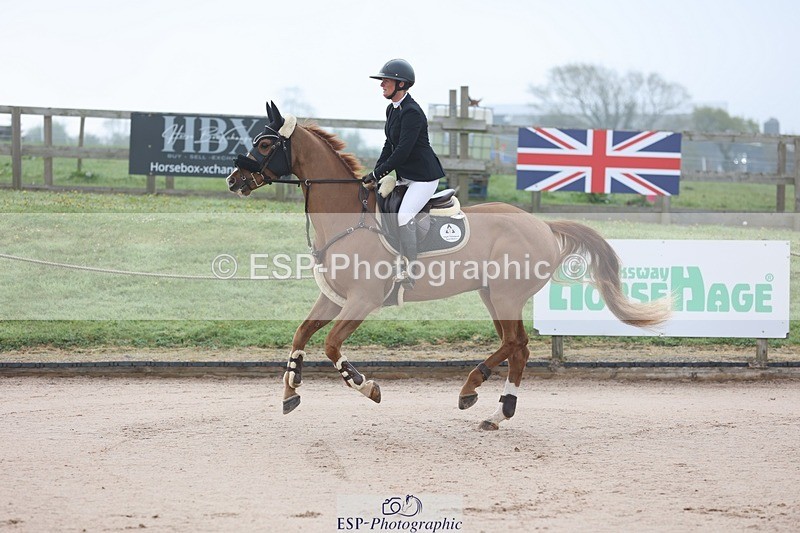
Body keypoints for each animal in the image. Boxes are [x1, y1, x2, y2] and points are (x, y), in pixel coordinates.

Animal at [226, 101, 670, 430]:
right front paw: (291, 390)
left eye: (264, 145)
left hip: (505, 295)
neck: (347, 216)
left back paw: (471, 390)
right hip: (493, 295)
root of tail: (543, 224)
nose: (234, 180)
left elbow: (332, 343)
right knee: (519, 347)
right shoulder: (334, 298)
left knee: (514, 343)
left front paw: (367, 386)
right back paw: (497, 411)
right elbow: (301, 334)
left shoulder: (363, 300)